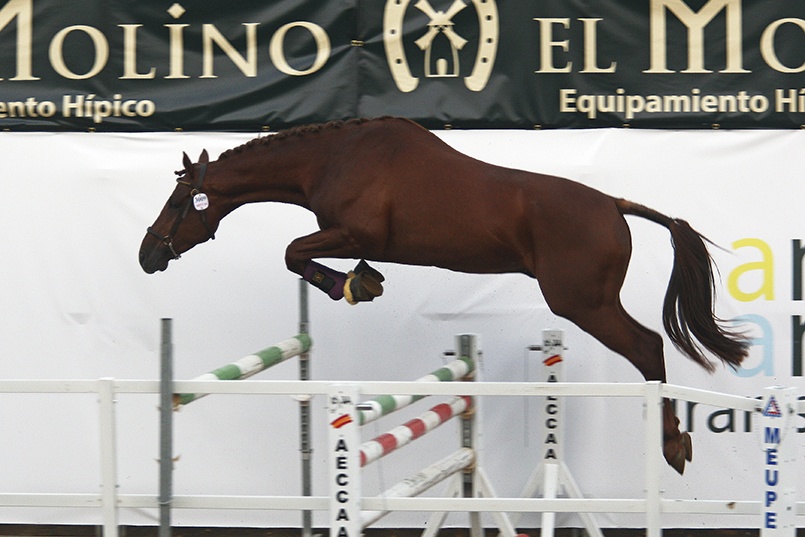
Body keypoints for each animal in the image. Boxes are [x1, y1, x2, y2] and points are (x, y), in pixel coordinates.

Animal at [140, 116, 748, 474]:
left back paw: (672, 445)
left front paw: (353, 285)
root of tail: (613, 205)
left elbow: (293, 252)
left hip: (582, 302)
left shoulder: (353, 232)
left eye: (175, 202)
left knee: (647, 347)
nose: (148, 255)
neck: (334, 157)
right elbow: (301, 254)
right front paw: (365, 280)